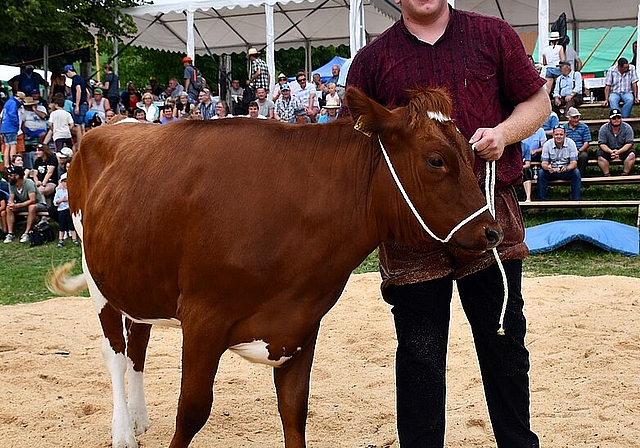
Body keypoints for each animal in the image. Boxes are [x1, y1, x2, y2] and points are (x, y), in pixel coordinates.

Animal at [47, 86, 502, 448]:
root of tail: (113, 125)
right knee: (115, 352)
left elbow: (294, 411)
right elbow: (191, 410)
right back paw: (123, 431)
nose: (492, 231)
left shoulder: (302, 322)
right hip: (98, 279)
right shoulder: (203, 318)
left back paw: (140, 420)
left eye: (472, 152)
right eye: (436, 160)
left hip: (136, 276)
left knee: (138, 344)